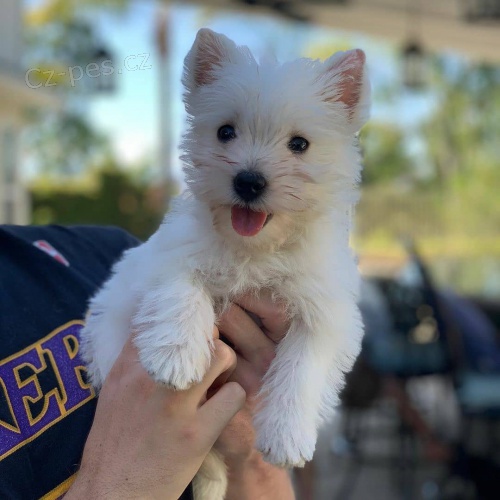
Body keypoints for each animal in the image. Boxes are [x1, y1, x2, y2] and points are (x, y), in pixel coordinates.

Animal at [82, 28, 370, 500]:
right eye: (225, 132)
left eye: (300, 144)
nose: (248, 181)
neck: (254, 248)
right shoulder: (165, 256)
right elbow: (181, 289)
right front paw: (176, 356)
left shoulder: (327, 311)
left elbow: (303, 366)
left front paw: (287, 435)